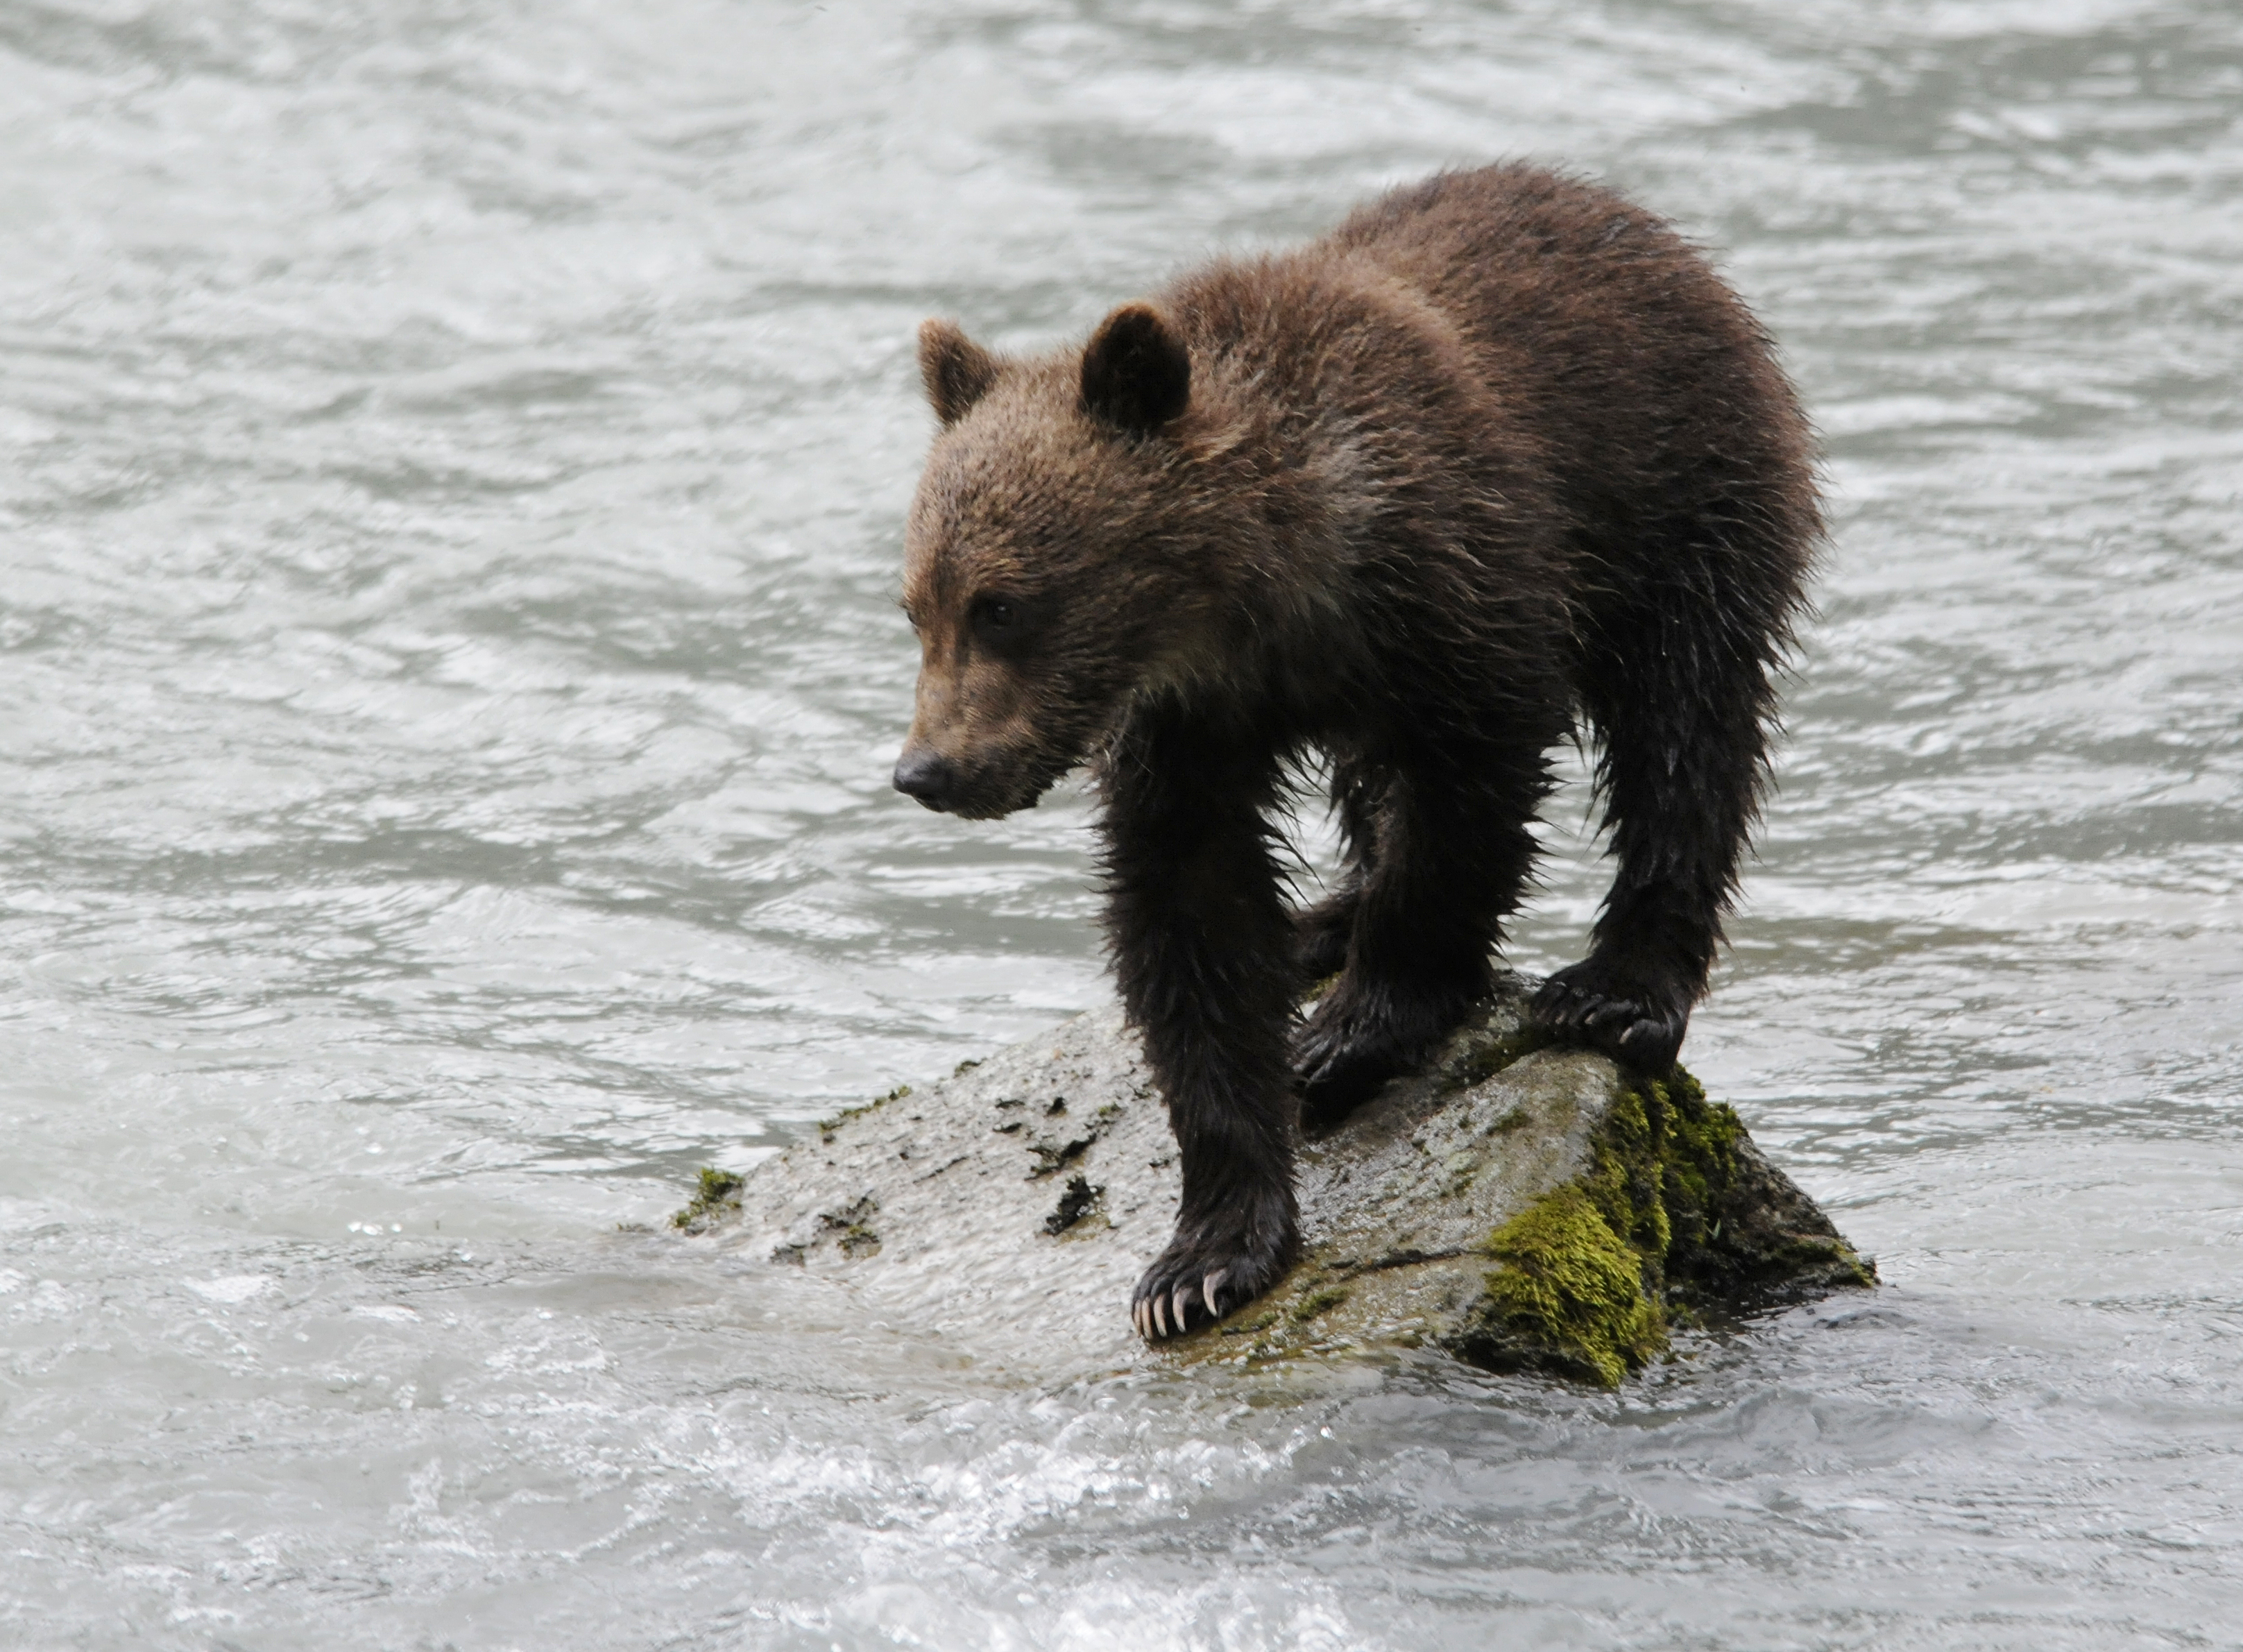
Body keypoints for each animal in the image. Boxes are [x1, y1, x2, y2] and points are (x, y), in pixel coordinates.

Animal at [883, 161, 1812, 1347]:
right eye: (916, 605)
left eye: (1002, 605)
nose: (929, 771)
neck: (1262, 589)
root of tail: (1642, 224)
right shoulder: (1186, 726)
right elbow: (1188, 917)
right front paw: (1201, 1258)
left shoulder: (1461, 595)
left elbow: (1466, 804)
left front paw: (1354, 1030)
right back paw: (1321, 922)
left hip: (1681, 498)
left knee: (1686, 732)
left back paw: (1618, 985)